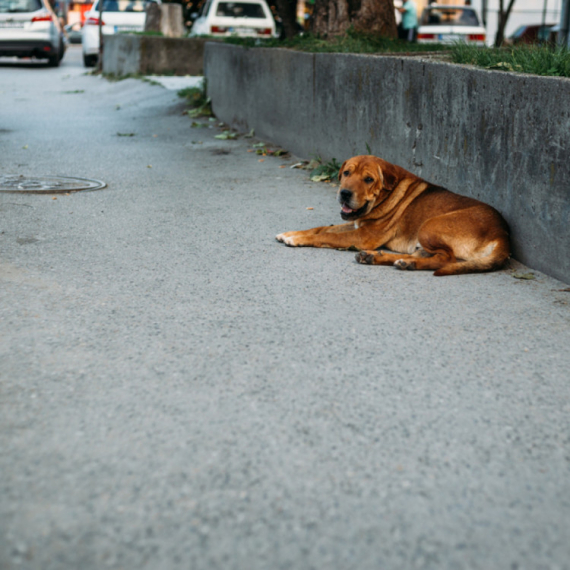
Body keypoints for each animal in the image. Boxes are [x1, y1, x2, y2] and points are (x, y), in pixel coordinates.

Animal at [272, 152, 508, 274]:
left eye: (368, 179)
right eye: (346, 173)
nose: (345, 193)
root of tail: (503, 234)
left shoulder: (363, 236)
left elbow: (327, 237)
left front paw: (297, 239)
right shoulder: (356, 224)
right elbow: (322, 228)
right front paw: (292, 233)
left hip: (429, 226)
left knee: (446, 259)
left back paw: (404, 263)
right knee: (425, 255)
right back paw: (381, 258)